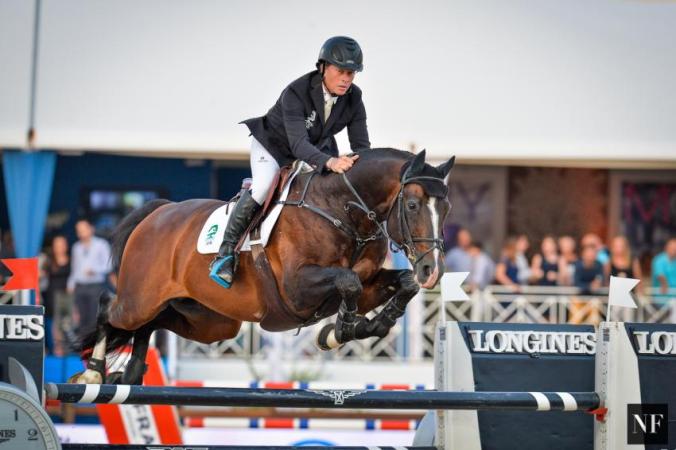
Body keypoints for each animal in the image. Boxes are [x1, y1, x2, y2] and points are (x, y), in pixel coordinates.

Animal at [74, 148, 454, 385]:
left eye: (446, 208)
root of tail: (156, 213)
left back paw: (132, 373)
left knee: (152, 323)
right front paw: (341, 330)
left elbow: (400, 283)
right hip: (140, 299)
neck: (342, 210)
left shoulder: (367, 284)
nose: (432, 271)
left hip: (209, 321)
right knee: (111, 308)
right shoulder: (297, 290)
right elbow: (349, 282)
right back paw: (93, 372)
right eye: (412, 205)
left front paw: (362, 327)